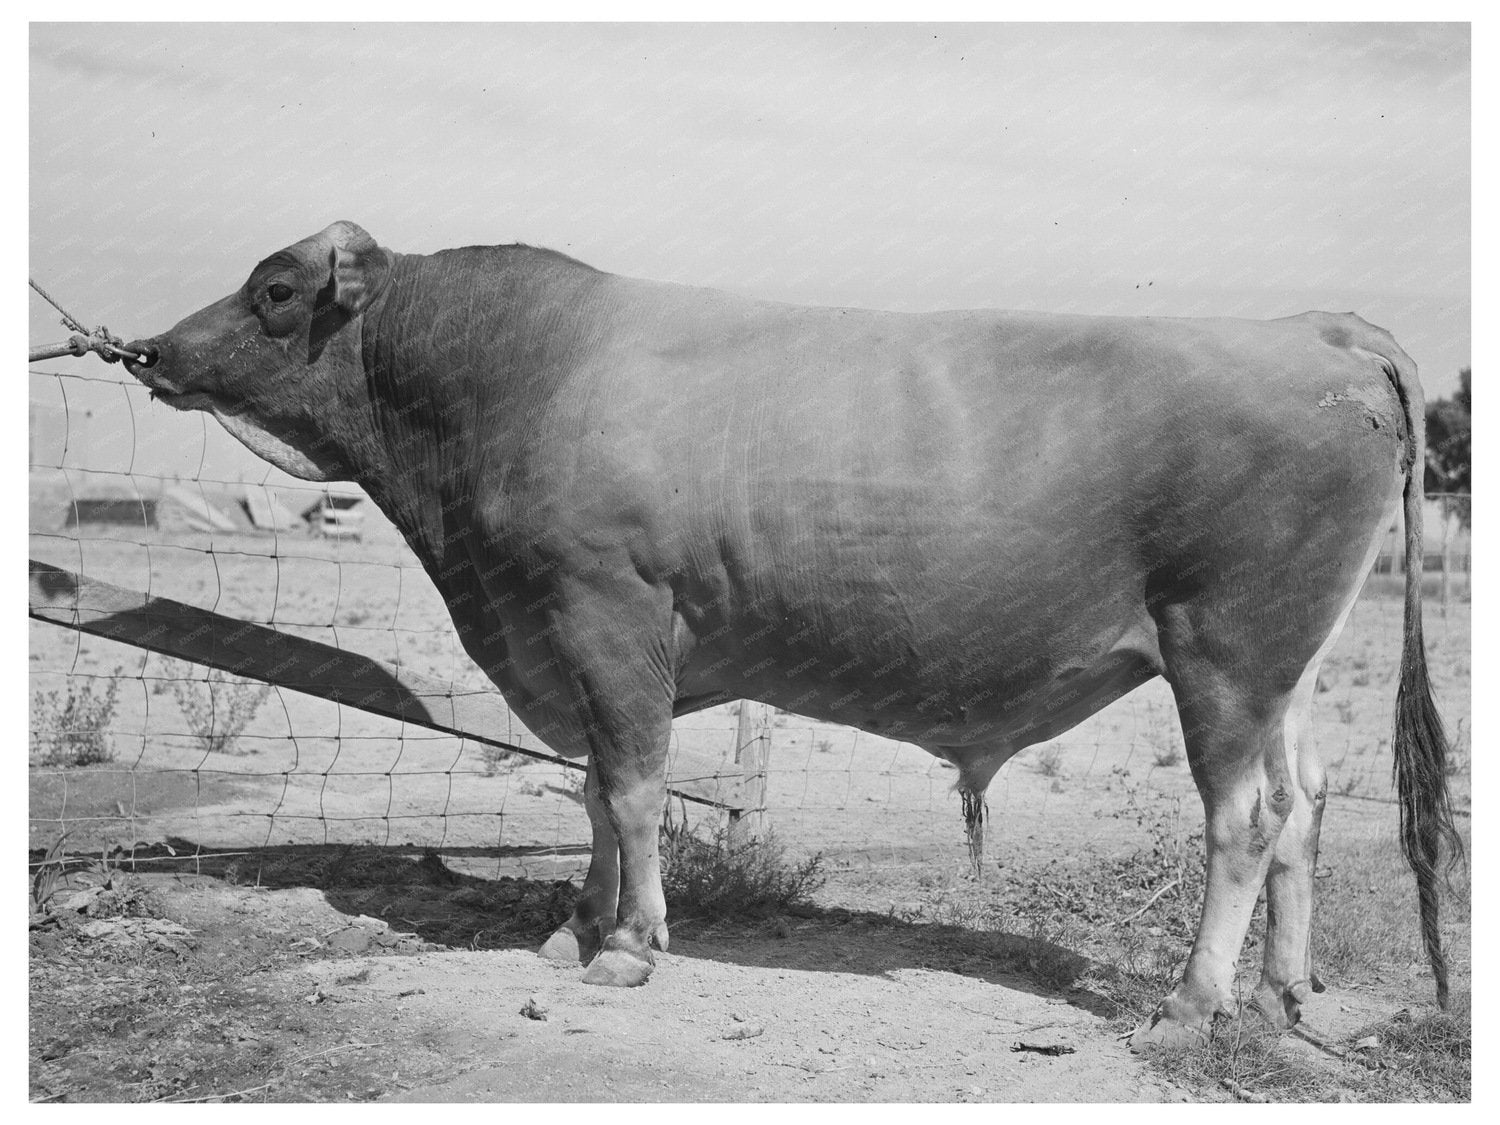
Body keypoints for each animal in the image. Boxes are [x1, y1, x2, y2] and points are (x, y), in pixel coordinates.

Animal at [121, 221, 1460, 1048]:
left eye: (274, 291)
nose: (150, 351)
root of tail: (1315, 328)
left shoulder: (606, 617)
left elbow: (635, 790)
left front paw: (631, 945)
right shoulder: (573, 639)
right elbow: (596, 792)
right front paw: (577, 926)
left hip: (1224, 651)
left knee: (1246, 817)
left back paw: (1191, 1003)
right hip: (1282, 665)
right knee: (1308, 800)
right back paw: (1285, 991)